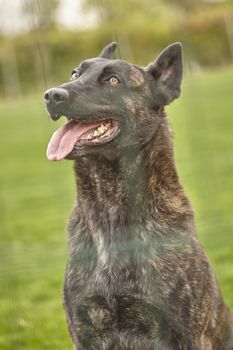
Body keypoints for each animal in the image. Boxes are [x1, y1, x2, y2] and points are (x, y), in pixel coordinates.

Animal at [44, 42, 233, 348]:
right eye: (74, 74)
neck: (109, 209)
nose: (51, 95)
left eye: (113, 80)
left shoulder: (189, 335)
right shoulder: (84, 332)